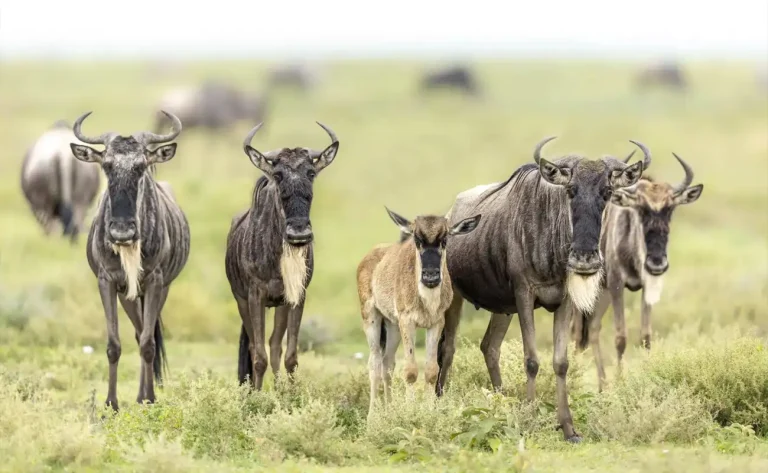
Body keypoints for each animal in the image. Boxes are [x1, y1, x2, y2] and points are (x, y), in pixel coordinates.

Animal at [356, 206, 480, 416]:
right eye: (417, 240)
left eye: (444, 240)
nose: (430, 276)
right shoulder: (408, 322)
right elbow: (411, 371)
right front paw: (409, 411)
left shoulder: (435, 323)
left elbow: (431, 371)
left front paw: (428, 412)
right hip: (371, 318)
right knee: (374, 364)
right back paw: (372, 417)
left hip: (392, 325)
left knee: (387, 364)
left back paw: (390, 410)